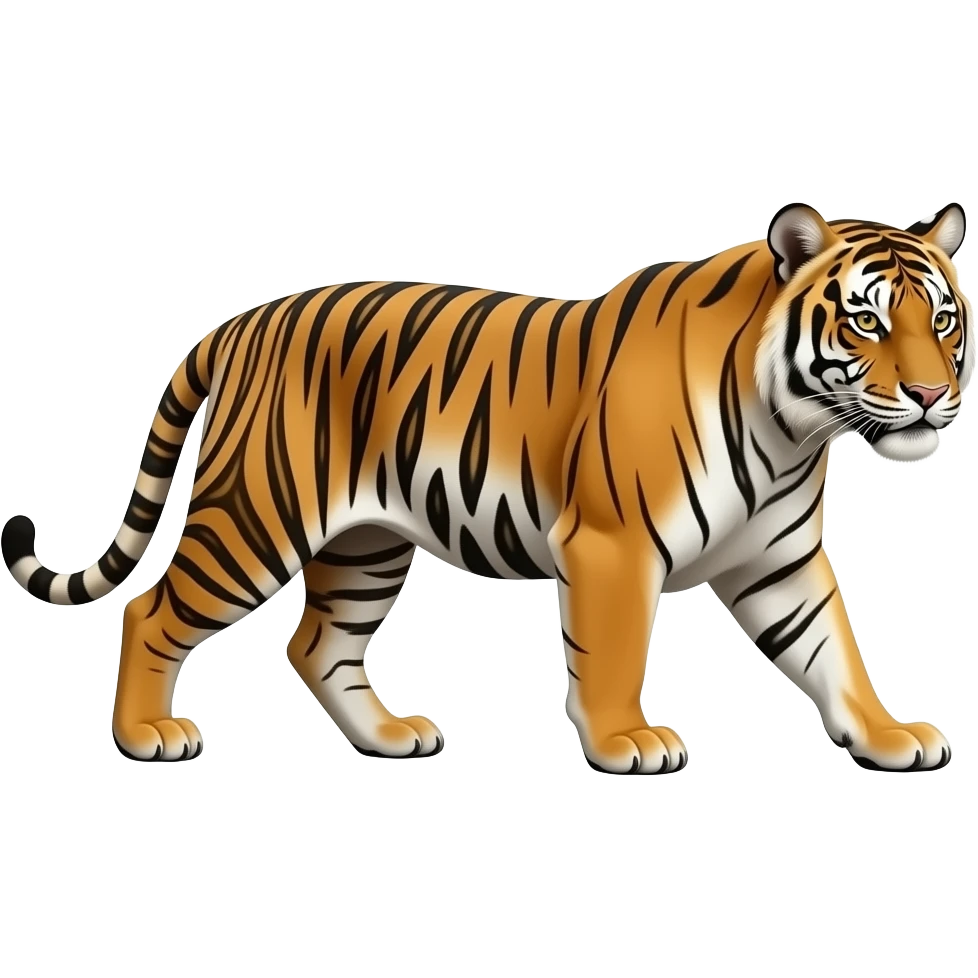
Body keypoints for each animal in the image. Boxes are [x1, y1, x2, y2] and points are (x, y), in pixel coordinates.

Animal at [1, 201, 970, 773]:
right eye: (866, 320)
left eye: (943, 319)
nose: (933, 394)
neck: (792, 431)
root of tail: (238, 323)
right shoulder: (613, 546)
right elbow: (615, 654)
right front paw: (626, 741)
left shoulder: (780, 559)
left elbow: (835, 653)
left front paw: (891, 737)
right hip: (252, 520)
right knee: (150, 611)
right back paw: (146, 736)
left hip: (366, 546)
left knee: (317, 644)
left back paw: (390, 737)